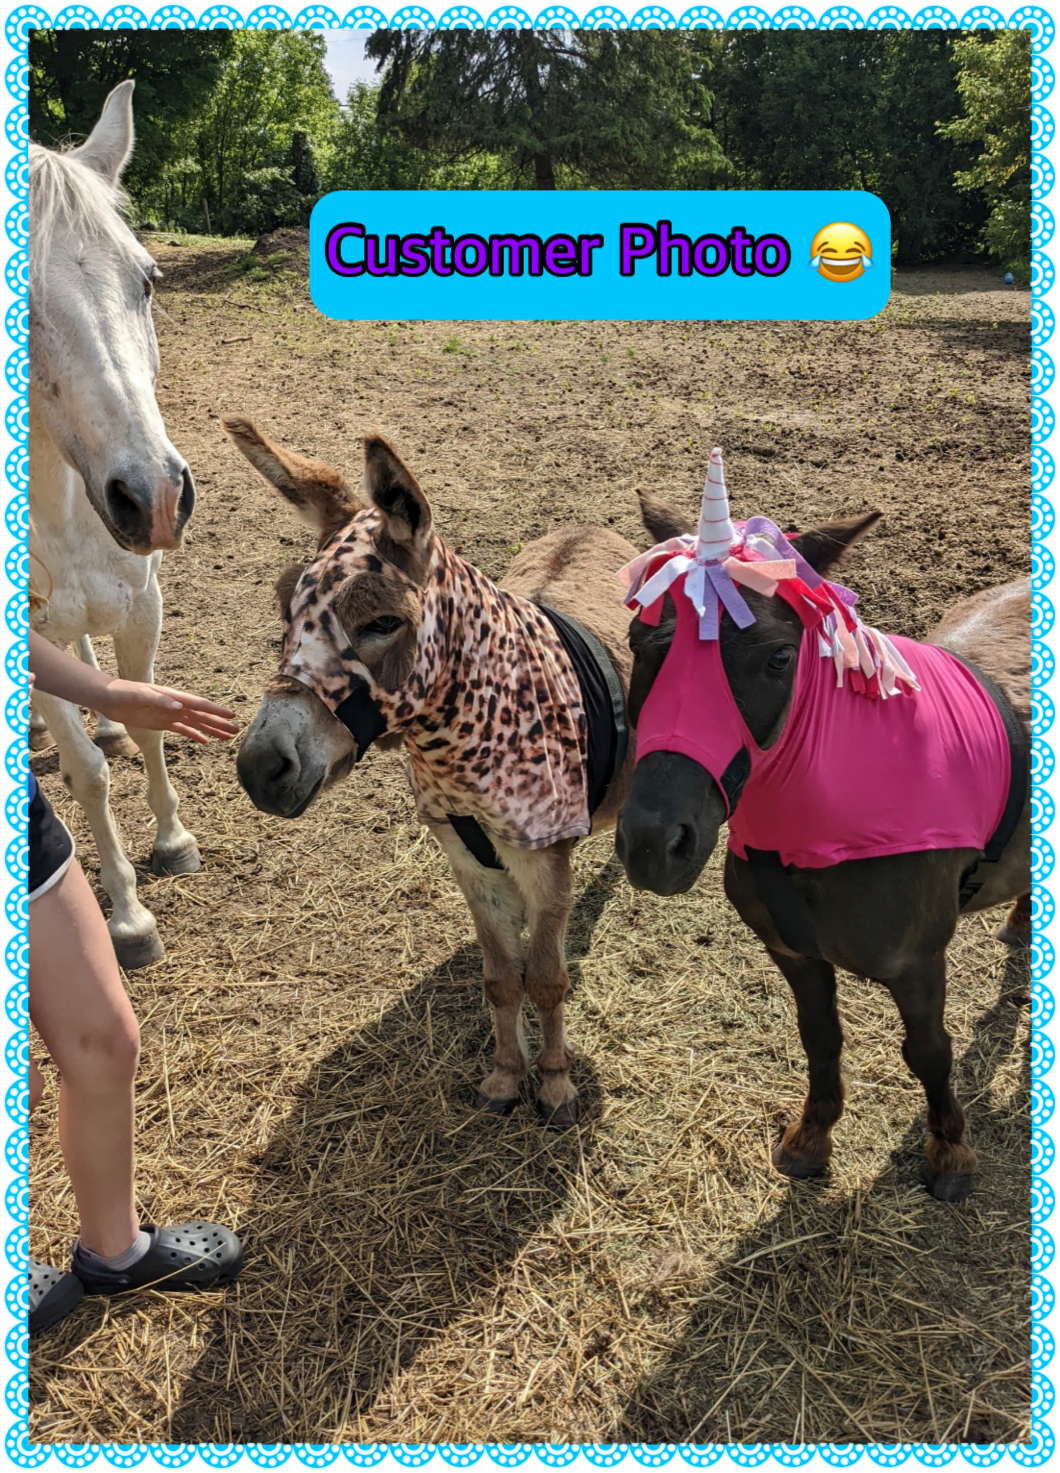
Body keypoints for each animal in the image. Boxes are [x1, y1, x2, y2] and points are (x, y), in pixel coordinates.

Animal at [225, 416, 637, 1126]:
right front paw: (506, 1077)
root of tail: (590, 526)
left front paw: (556, 1085)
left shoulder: (545, 864)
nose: (260, 768)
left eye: (383, 622)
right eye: (285, 613)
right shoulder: (470, 864)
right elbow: (501, 980)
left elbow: (547, 979)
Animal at [615, 453, 1029, 1202]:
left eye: (779, 657)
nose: (654, 844)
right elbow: (821, 1039)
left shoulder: (918, 963)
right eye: (640, 641)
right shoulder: (796, 955)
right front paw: (811, 1138)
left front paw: (949, 1153)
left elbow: (930, 1053)